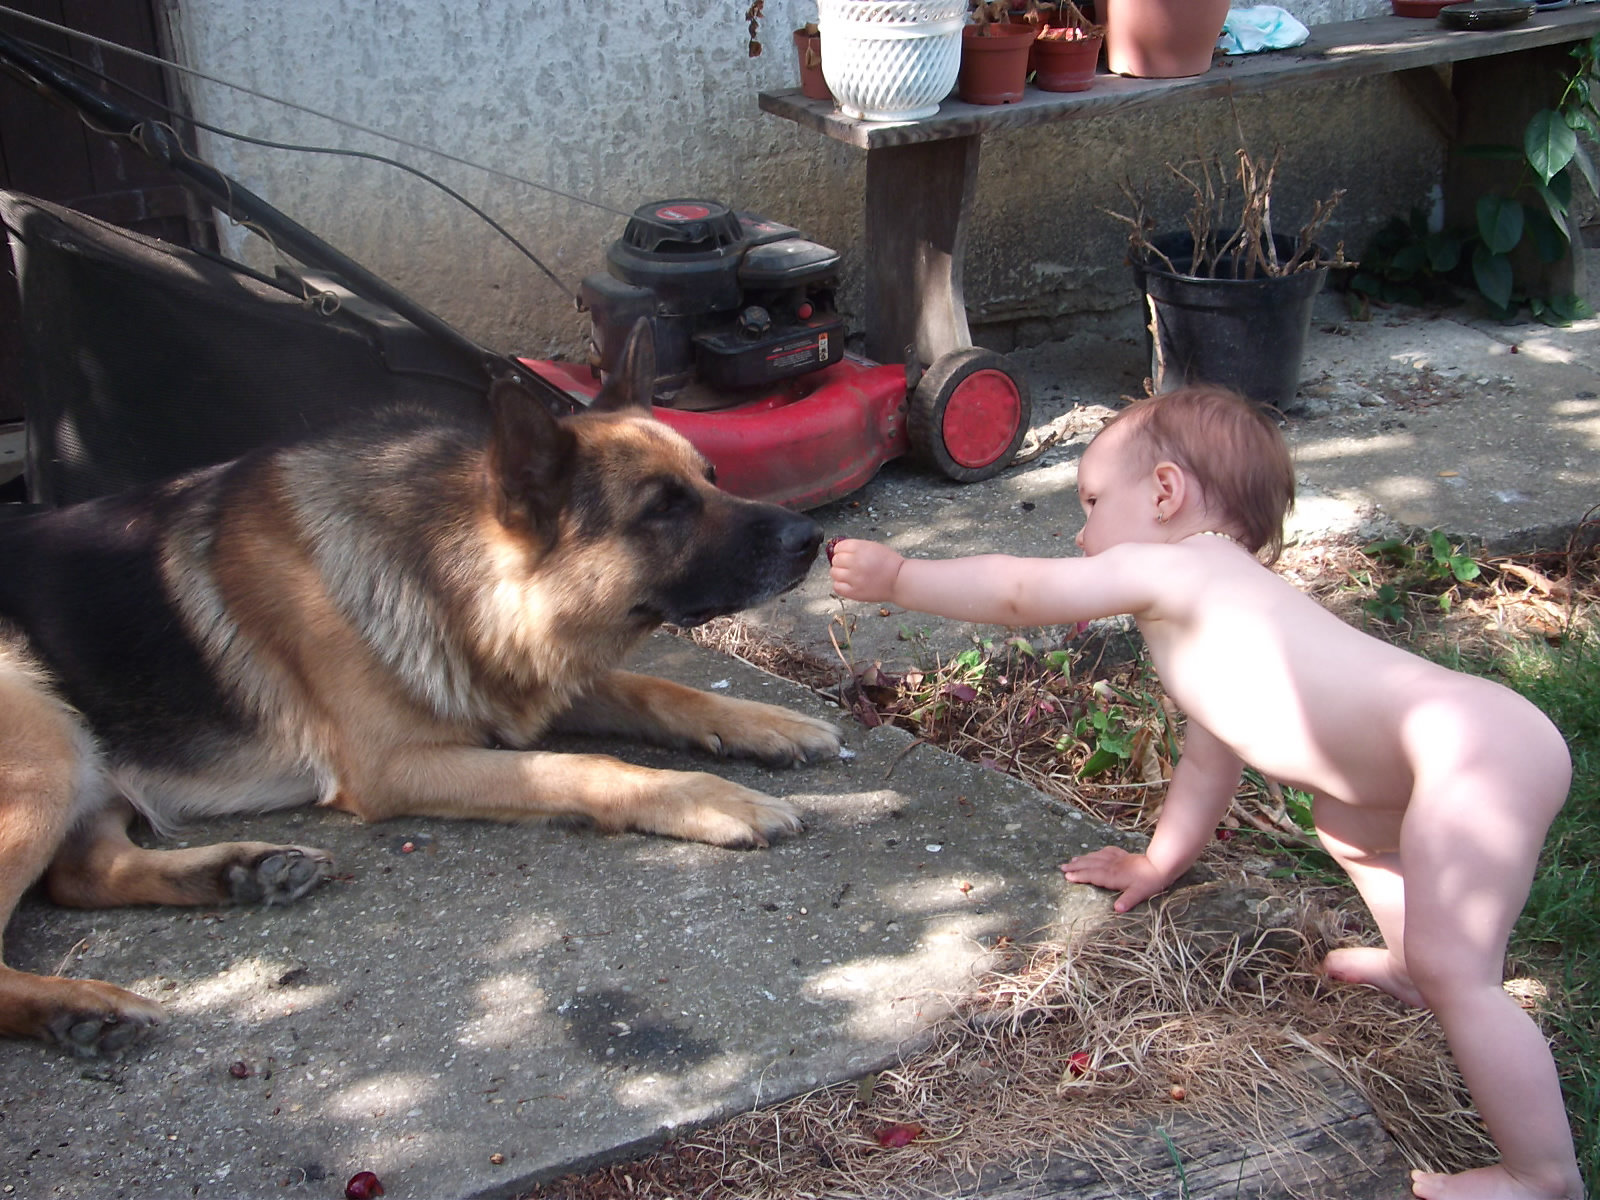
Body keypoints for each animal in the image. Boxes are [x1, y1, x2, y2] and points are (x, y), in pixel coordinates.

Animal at [0, 321, 844, 1062]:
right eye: (663, 507)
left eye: (711, 479)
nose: (813, 541)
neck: (449, 569)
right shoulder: (396, 764)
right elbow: (584, 765)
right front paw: (710, 798)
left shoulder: (524, 680)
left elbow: (658, 688)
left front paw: (767, 723)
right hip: (47, 744)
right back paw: (76, 1006)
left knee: (81, 875)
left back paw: (242, 871)